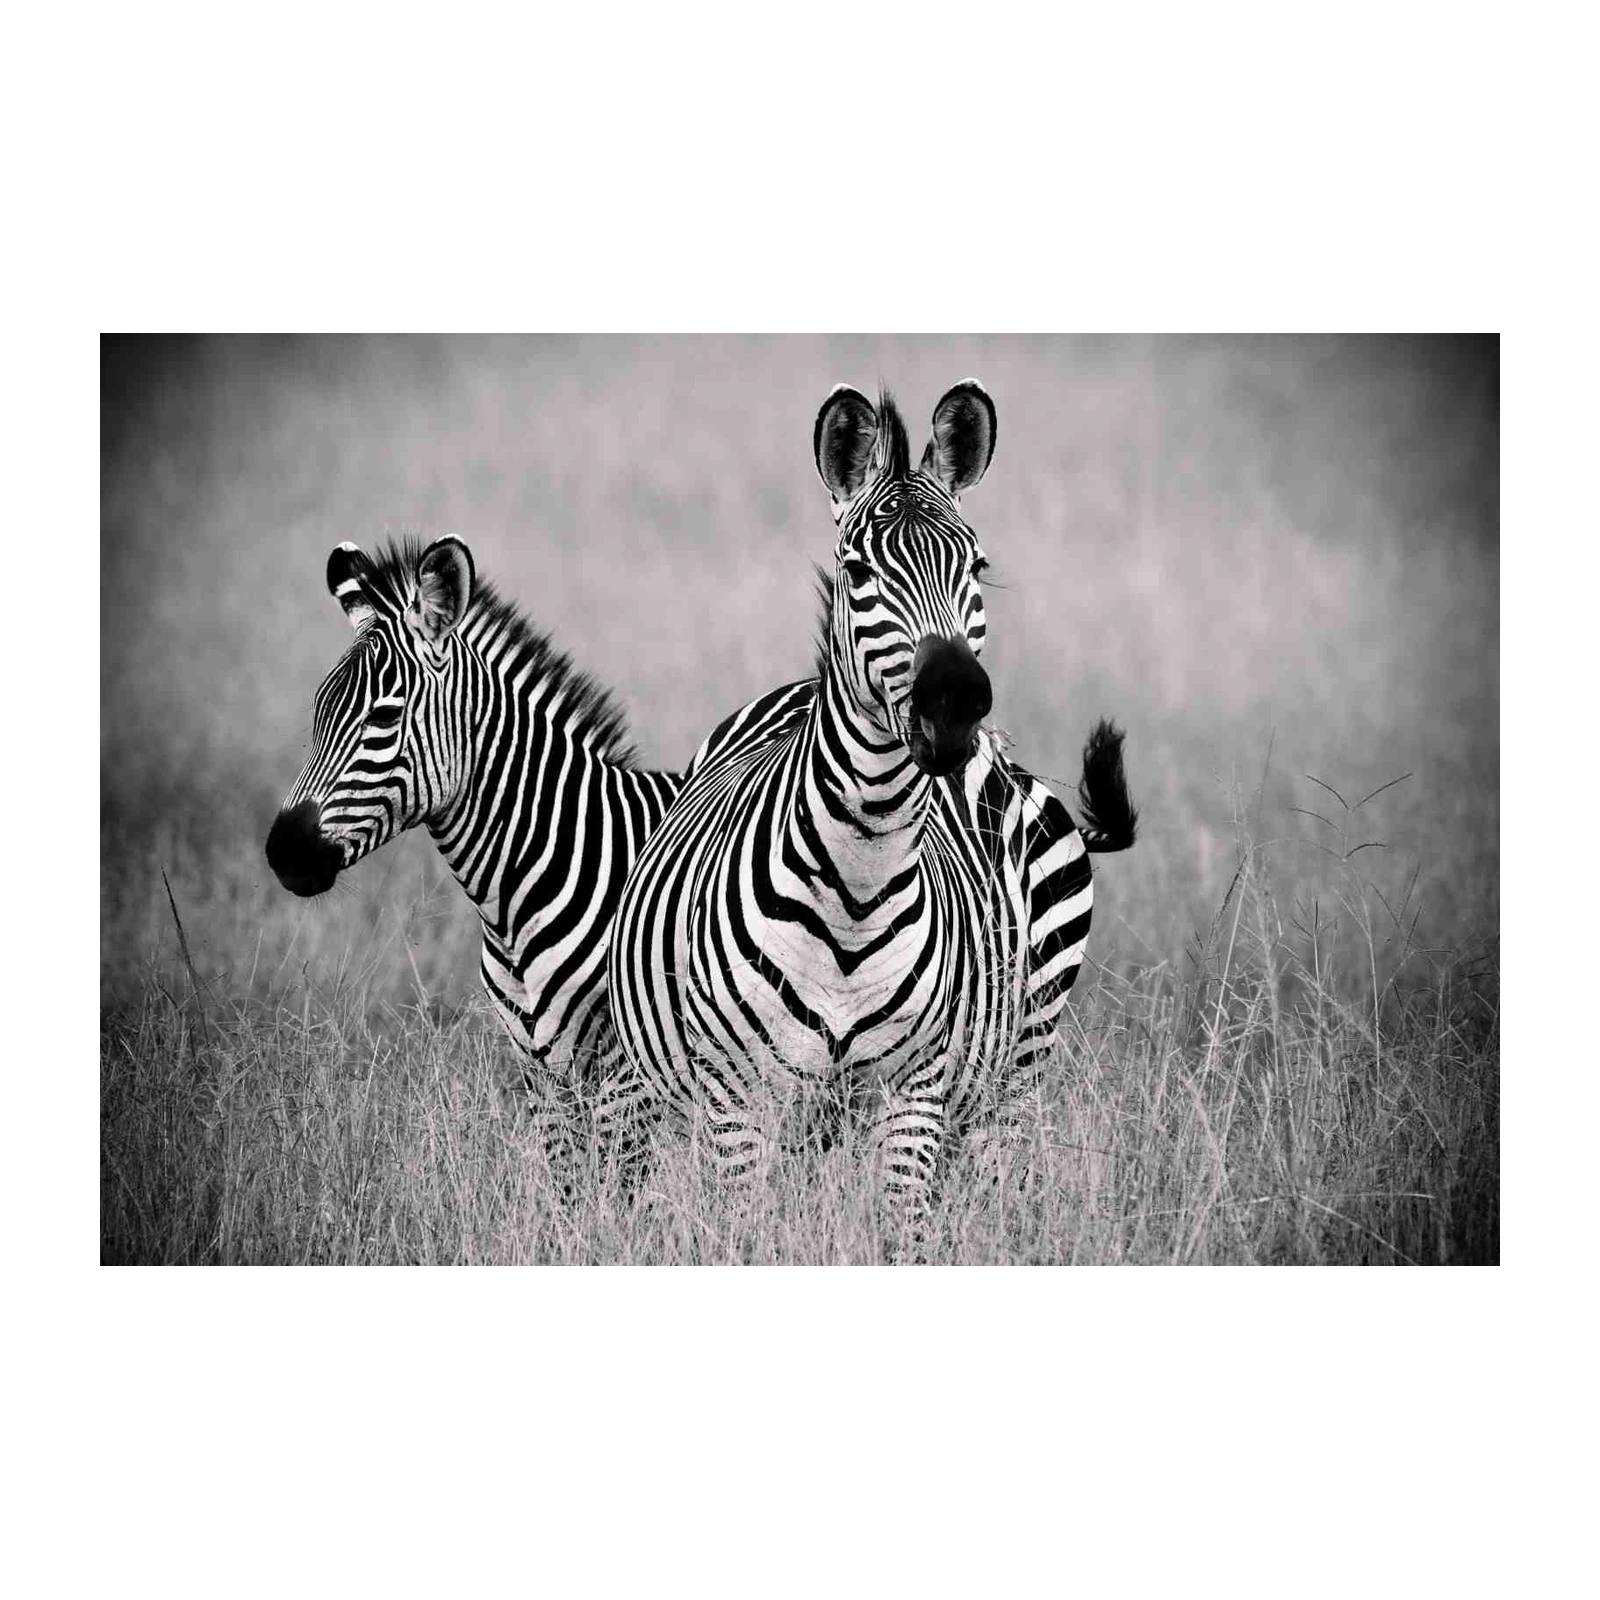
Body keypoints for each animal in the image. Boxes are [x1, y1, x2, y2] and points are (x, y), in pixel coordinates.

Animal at [607, 381, 1137, 1212]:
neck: (856, 890)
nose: (954, 702)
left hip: (1018, 1064)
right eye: (857, 572)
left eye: (977, 565)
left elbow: (903, 1224)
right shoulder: (740, 1106)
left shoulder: (913, 1096)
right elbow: (749, 1229)